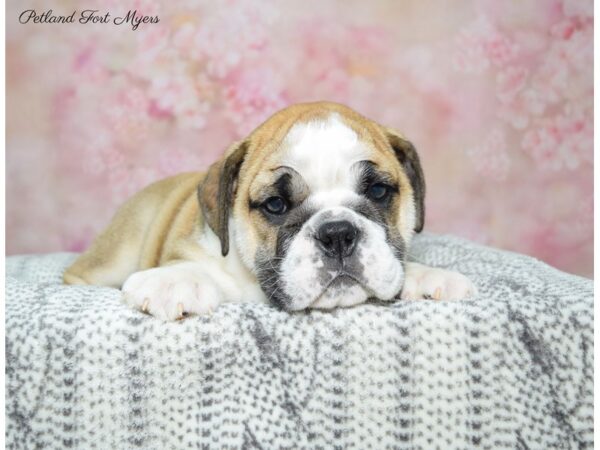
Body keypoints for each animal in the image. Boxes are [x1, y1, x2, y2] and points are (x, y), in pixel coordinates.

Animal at [63, 102, 476, 320]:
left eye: (377, 191)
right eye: (276, 205)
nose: (338, 233)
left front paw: (427, 277)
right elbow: (191, 266)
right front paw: (173, 280)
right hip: (116, 253)